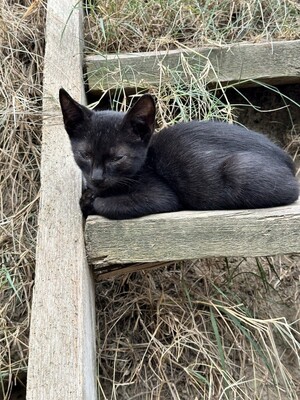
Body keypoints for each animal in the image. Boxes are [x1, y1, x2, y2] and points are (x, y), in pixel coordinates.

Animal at [58, 89, 298, 219]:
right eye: (85, 154)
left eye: (118, 158)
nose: (97, 178)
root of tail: (286, 157)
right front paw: (90, 194)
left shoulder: (160, 196)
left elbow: (105, 204)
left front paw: (92, 201)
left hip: (239, 170)